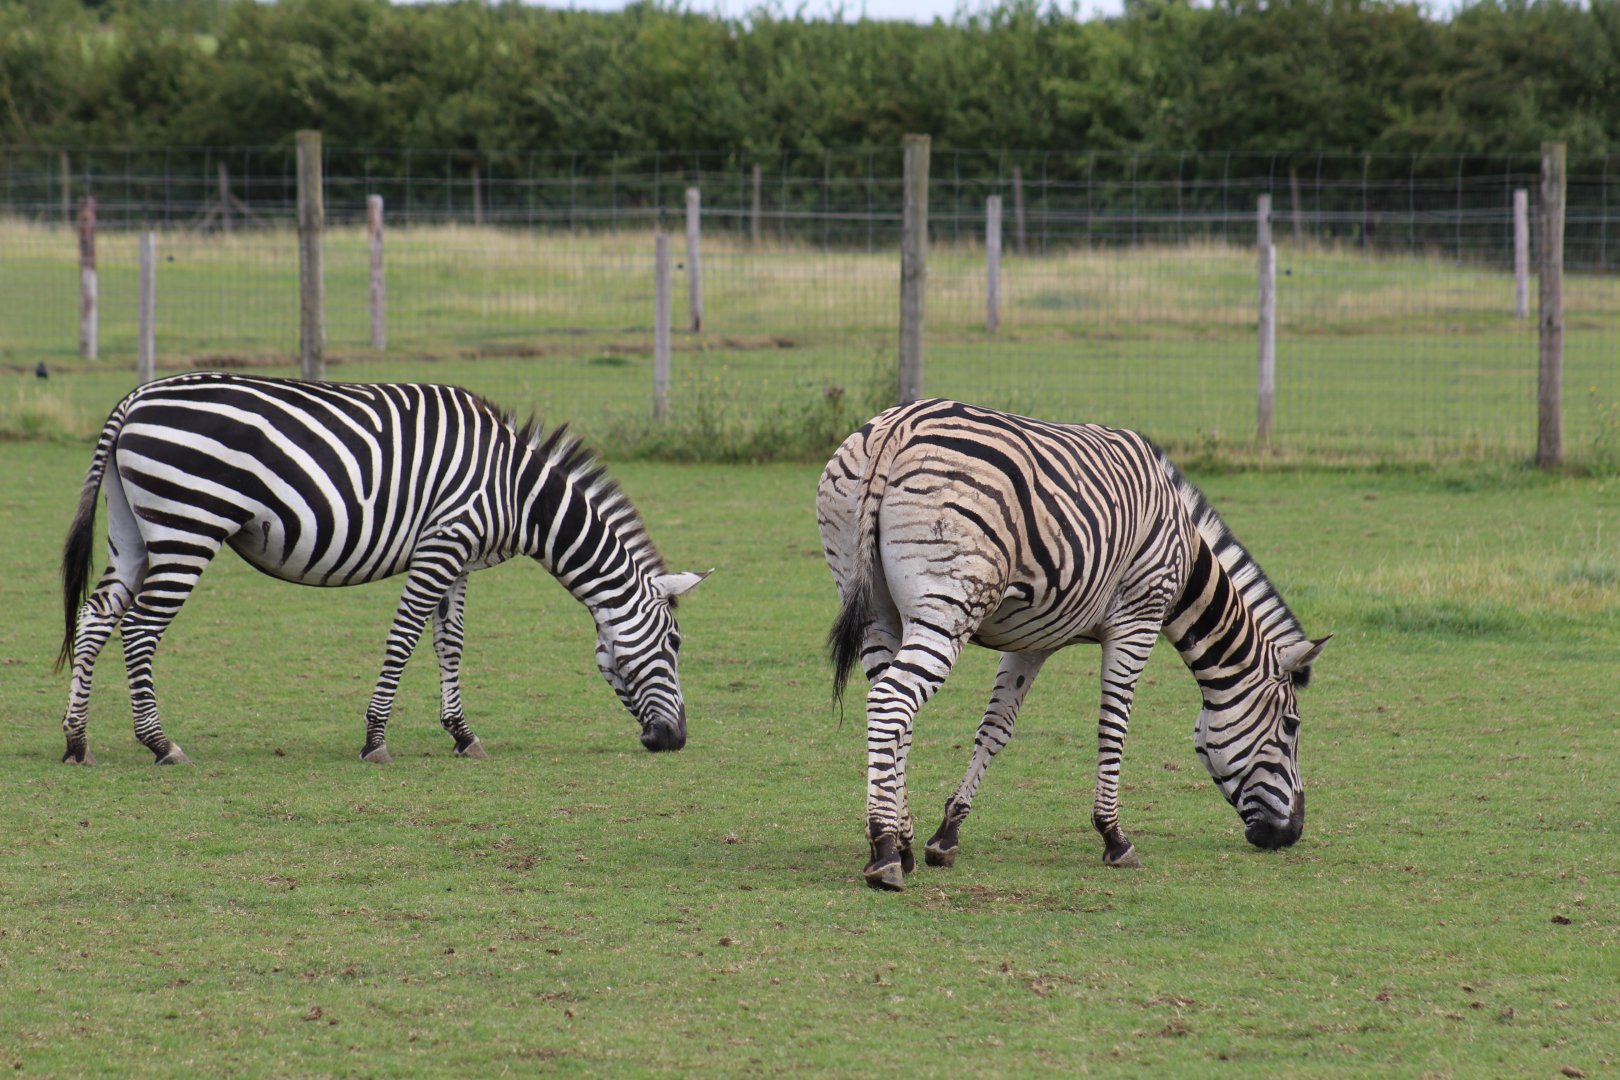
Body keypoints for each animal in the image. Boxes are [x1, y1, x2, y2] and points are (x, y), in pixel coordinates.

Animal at [57, 372, 708, 766]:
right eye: (675, 643)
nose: (675, 741)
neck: (518, 493)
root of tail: (135, 399)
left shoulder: (459, 558)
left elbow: (450, 644)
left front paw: (462, 734)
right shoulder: (442, 545)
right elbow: (404, 639)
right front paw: (375, 740)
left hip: (133, 533)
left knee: (94, 620)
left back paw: (77, 740)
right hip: (187, 526)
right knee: (139, 630)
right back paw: (160, 744)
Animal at [818, 399, 1328, 890]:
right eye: (1291, 726)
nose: (1292, 834)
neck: (1184, 558)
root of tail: (898, 426)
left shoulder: (1032, 639)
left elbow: (996, 729)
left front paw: (946, 835)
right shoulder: (1138, 619)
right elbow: (1113, 726)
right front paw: (1114, 837)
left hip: (875, 609)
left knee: (892, 712)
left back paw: (899, 843)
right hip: (948, 607)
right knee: (891, 701)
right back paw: (885, 852)